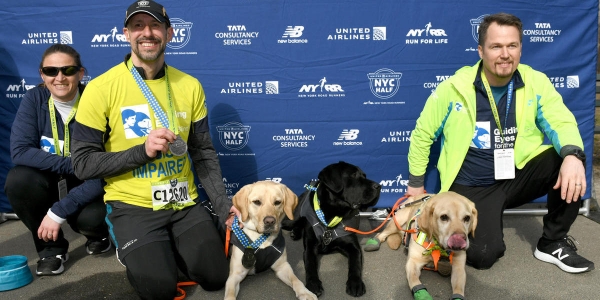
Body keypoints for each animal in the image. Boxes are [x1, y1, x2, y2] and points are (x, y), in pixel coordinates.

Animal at [282, 161, 380, 296]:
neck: (331, 216)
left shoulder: (353, 247)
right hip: (291, 219)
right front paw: (313, 284)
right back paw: (295, 232)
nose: (379, 186)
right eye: (353, 175)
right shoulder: (309, 248)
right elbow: (310, 265)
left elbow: (355, 264)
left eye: (364, 176)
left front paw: (355, 283)